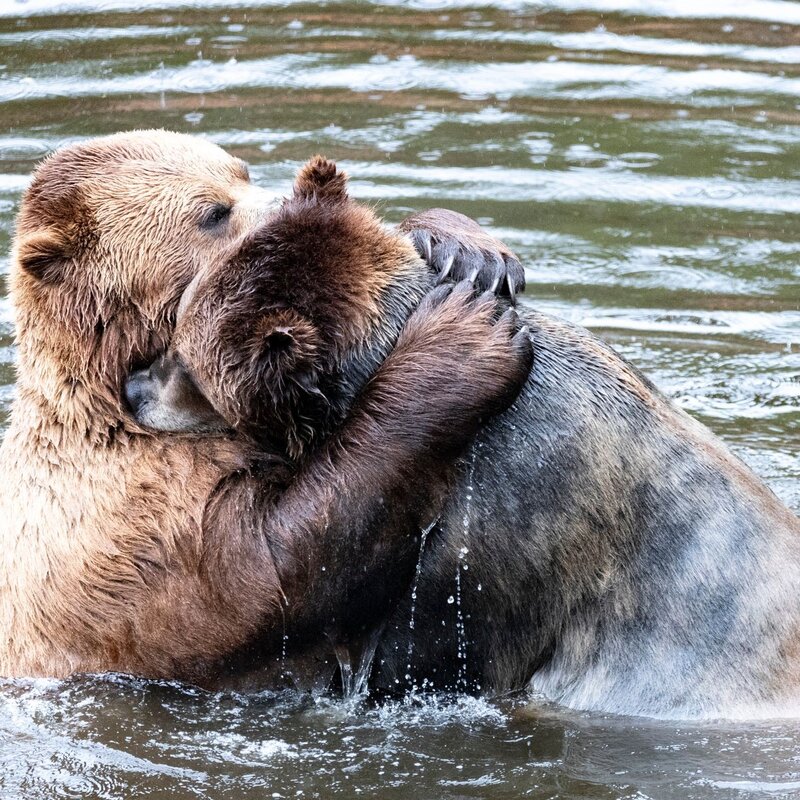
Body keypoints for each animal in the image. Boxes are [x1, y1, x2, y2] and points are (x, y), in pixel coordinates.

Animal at [0, 130, 532, 685]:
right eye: (213, 212)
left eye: (242, 171)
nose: (284, 202)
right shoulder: (137, 525)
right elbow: (280, 575)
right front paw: (462, 341)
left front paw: (468, 252)